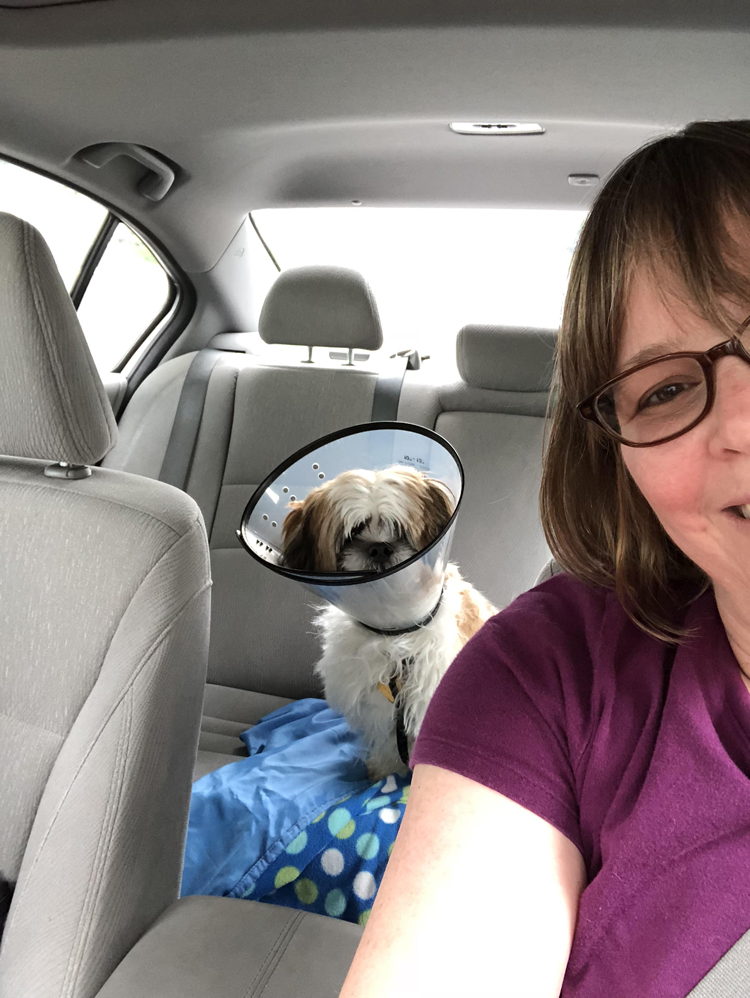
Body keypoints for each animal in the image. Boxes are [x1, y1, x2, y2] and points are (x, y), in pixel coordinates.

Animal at [280, 466, 496, 780]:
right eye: (354, 532)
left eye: (399, 529)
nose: (380, 548)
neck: (393, 632)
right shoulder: (381, 708)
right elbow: (388, 741)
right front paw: (385, 771)